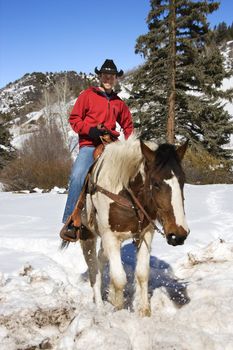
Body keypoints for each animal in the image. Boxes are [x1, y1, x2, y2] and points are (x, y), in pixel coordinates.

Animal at [71, 135, 189, 316]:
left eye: (183, 181)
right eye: (155, 183)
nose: (178, 235)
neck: (127, 195)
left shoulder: (146, 233)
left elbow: (142, 273)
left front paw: (144, 311)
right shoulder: (110, 237)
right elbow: (119, 278)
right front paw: (119, 309)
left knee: (101, 258)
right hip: (88, 236)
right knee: (93, 269)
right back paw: (99, 306)